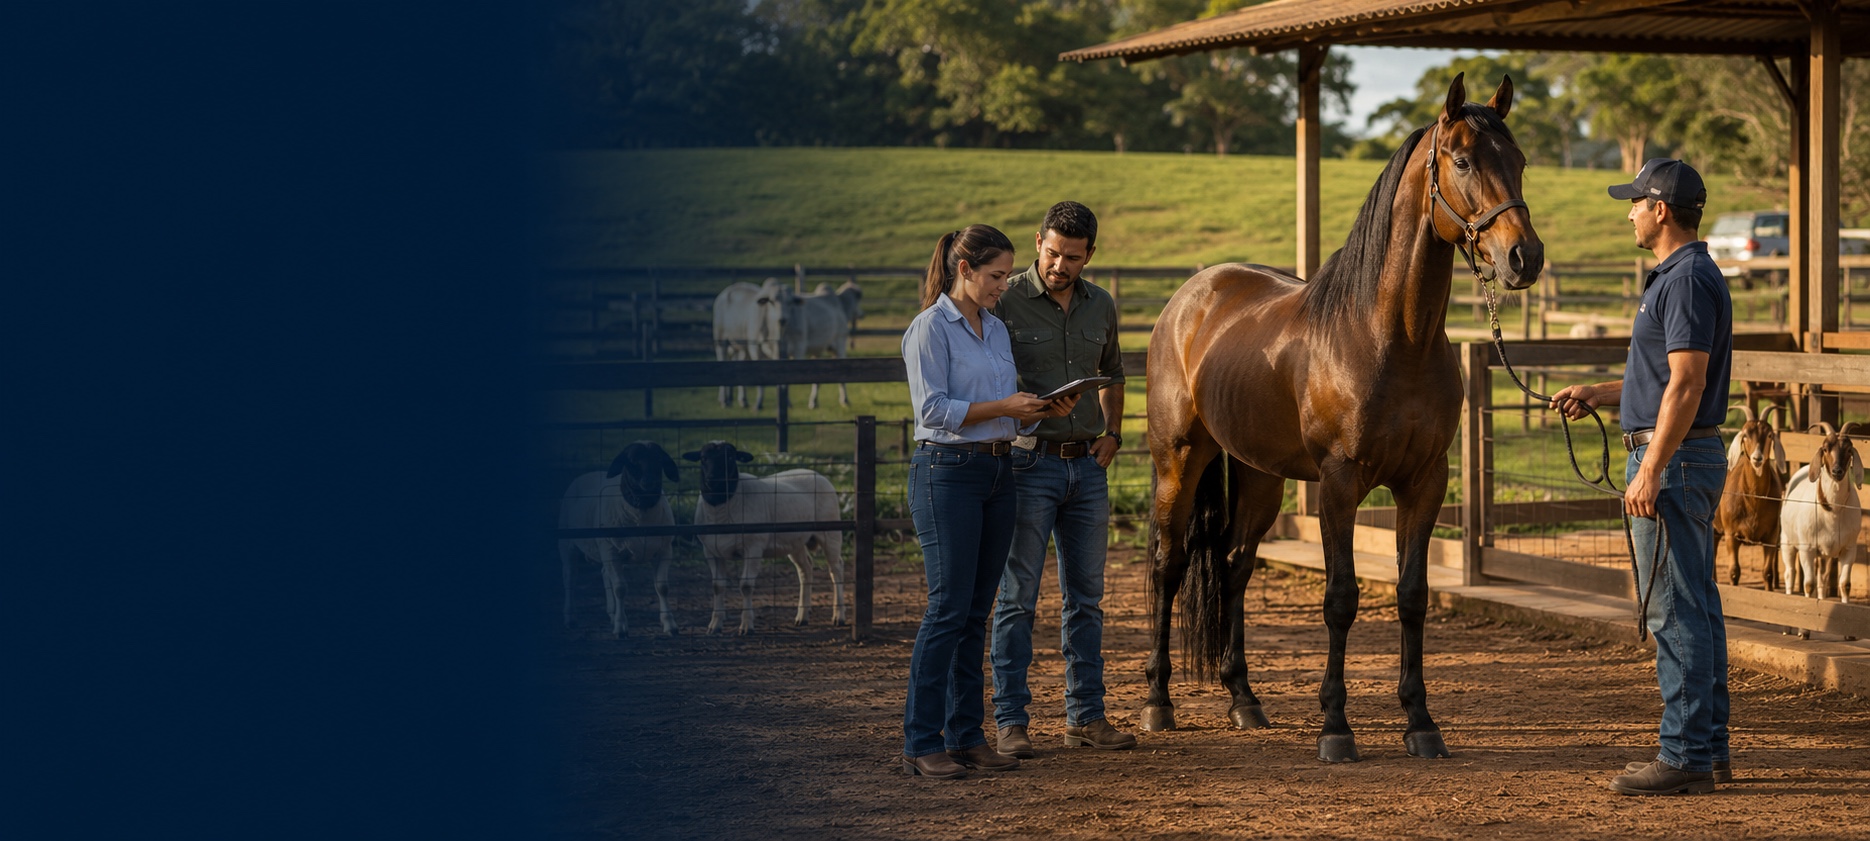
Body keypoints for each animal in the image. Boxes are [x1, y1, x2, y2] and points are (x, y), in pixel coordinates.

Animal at [1143, 73, 1543, 762]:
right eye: (1463, 161)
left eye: (1517, 161)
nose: (1525, 257)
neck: (1391, 338)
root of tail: (1189, 297)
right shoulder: (1339, 483)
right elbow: (1341, 598)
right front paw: (1335, 726)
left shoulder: (1425, 482)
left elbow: (1412, 596)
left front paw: (1420, 722)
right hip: (1180, 460)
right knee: (1170, 566)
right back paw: (1158, 702)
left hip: (1259, 477)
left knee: (1235, 566)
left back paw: (1243, 700)